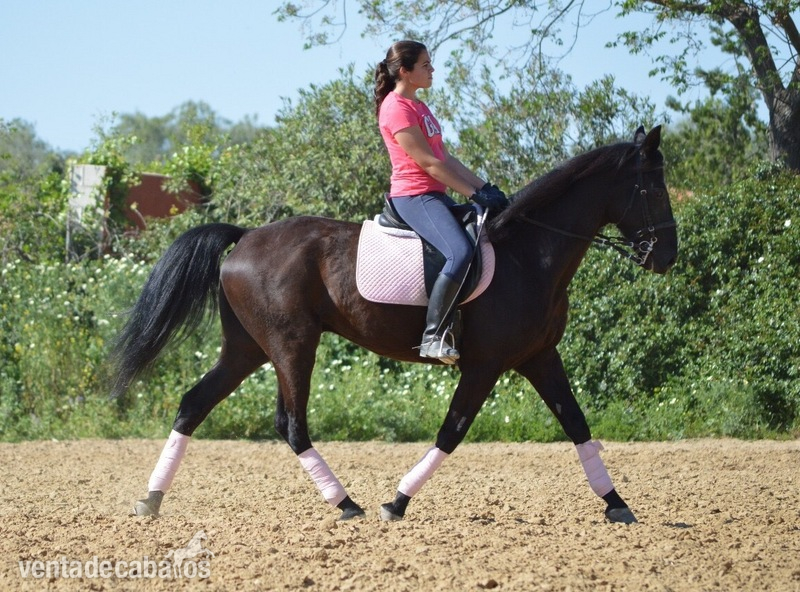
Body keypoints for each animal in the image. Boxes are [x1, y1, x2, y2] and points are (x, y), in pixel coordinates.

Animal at [114, 126, 677, 525]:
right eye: (651, 186)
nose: (667, 257)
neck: (529, 255)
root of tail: (246, 236)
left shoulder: (539, 356)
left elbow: (577, 423)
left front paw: (617, 503)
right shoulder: (485, 364)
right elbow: (452, 431)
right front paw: (398, 501)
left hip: (247, 349)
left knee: (194, 404)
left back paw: (151, 498)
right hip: (292, 345)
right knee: (291, 424)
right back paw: (346, 504)